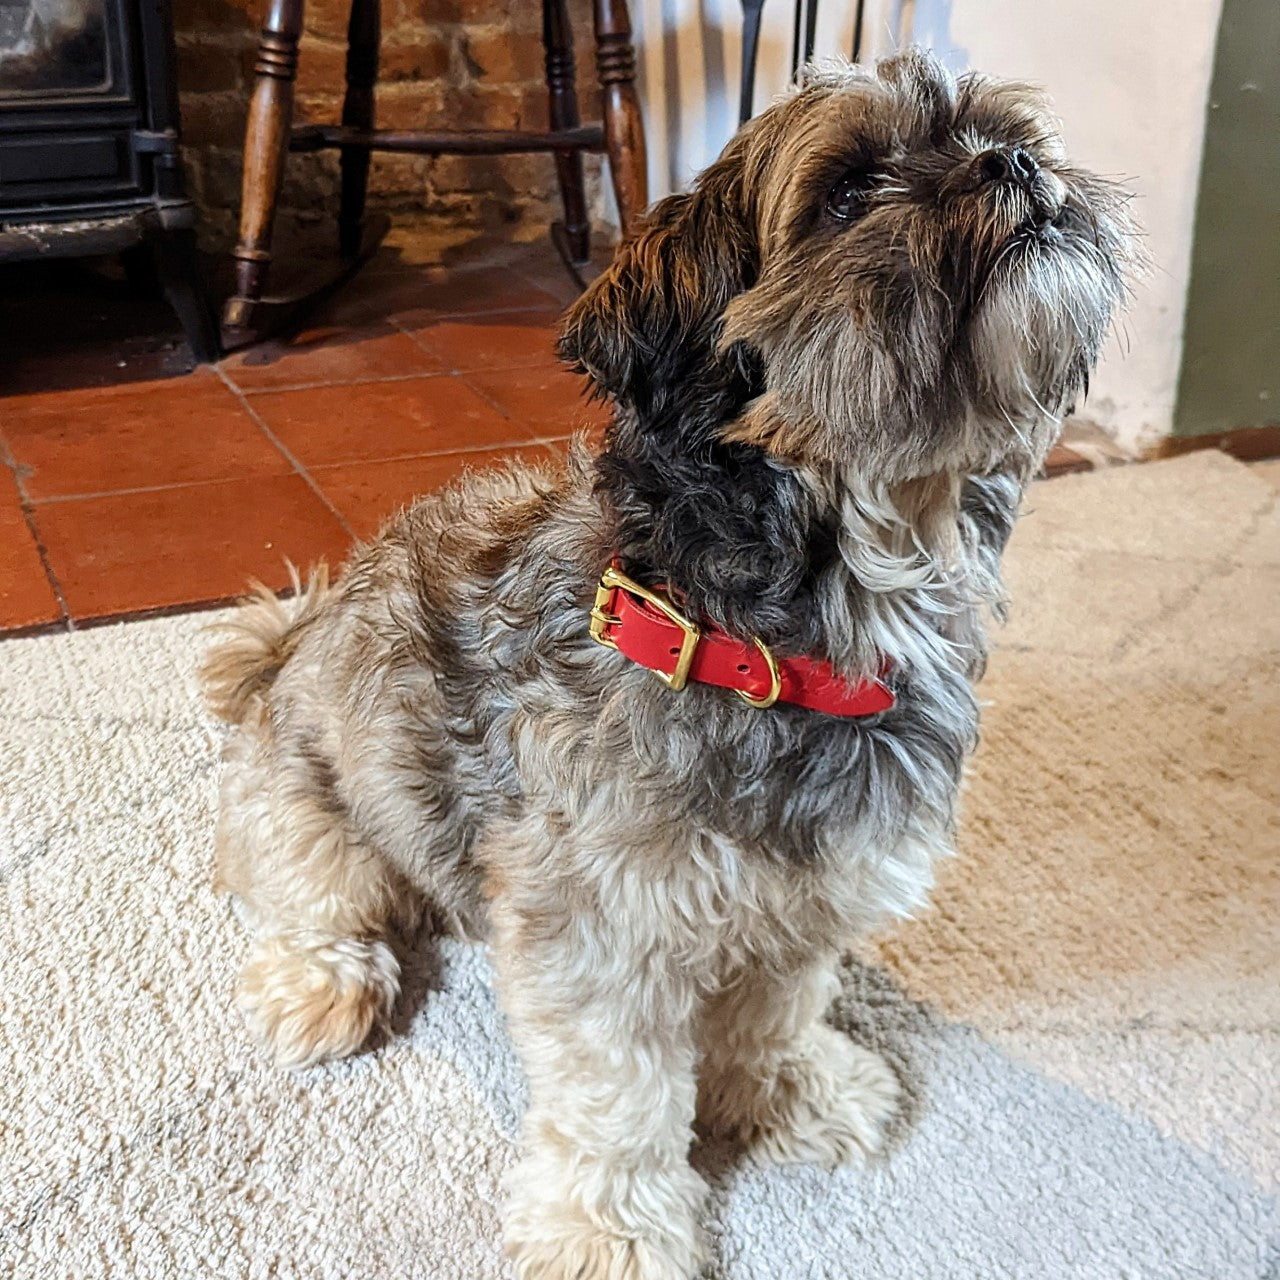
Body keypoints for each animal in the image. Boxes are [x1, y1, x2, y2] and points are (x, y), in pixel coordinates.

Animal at [204, 49, 1136, 1280]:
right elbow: (619, 1095)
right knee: (309, 901)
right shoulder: (602, 931)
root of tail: (286, 649)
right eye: (848, 190)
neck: (780, 645)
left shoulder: (807, 900)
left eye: (1005, 132)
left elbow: (774, 1013)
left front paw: (786, 1094)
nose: (1013, 165)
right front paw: (609, 1228)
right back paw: (322, 981)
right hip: (316, 811)